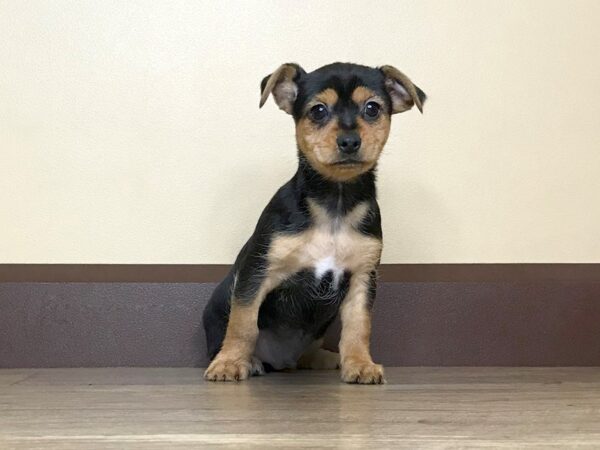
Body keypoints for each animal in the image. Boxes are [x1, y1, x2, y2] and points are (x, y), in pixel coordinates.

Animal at [204, 62, 424, 384]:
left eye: (372, 108)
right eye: (318, 111)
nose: (349, 141)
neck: (335, 202)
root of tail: (281, 360)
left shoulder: (363, 278)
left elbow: (359, 327)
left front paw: (360, 364)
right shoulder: (256, 273)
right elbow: (243, 323)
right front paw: (230, 363)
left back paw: (322, 358)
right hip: (222, 298)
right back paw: (248, 360)